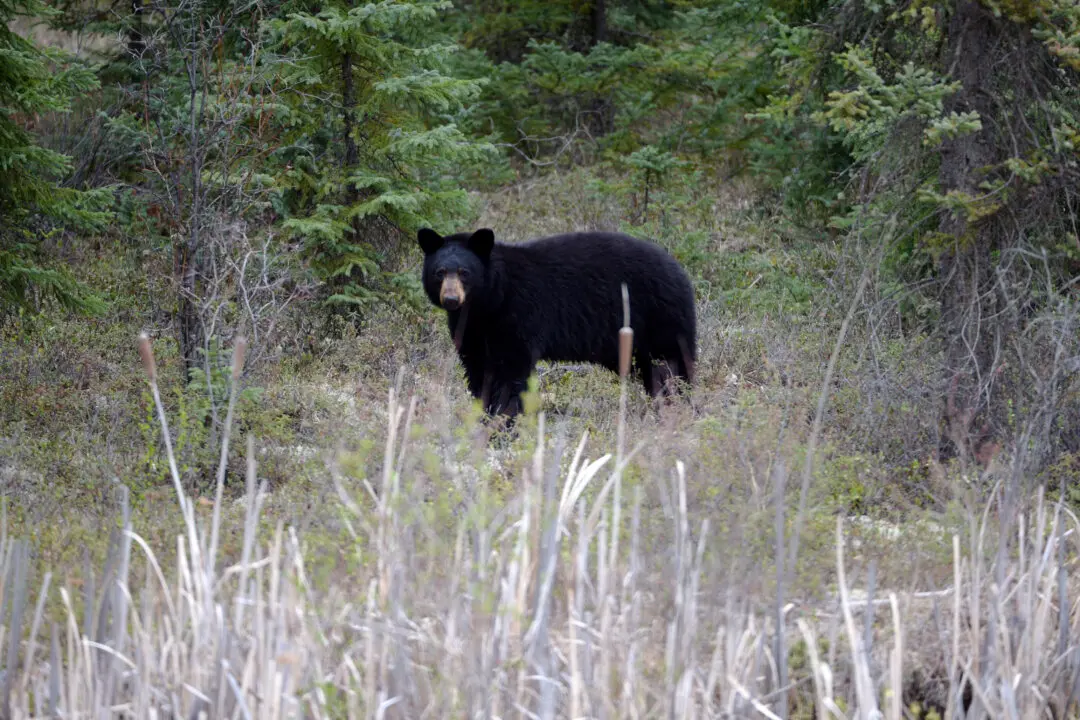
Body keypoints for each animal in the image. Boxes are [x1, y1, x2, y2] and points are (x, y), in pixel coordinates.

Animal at [418, 227, 697, 419]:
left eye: (464, 273)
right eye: (439, 272)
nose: (451, 299)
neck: (490, 302)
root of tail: (680, 270)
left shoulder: (518, 315)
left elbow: (511, 371)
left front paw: (504, 419)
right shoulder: (472, 329)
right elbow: (477, 369)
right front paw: (483, 414)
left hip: (659, 318)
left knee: (673, 366)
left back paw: (679, 404)